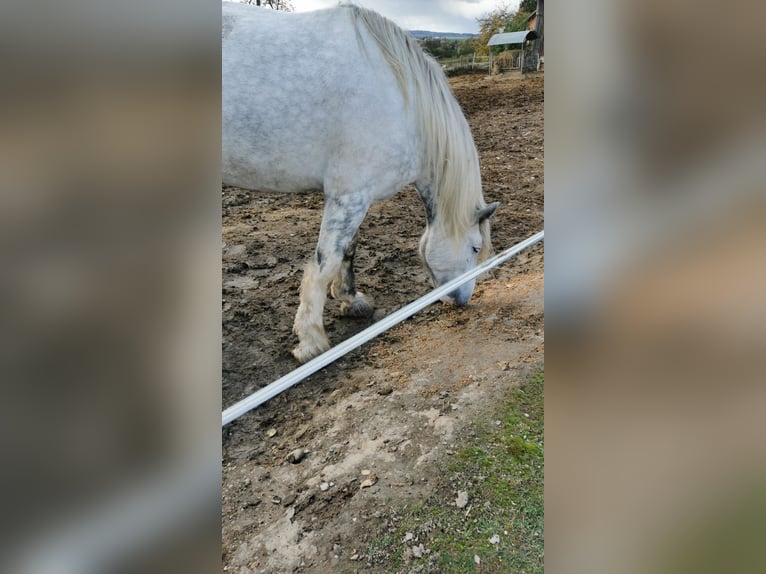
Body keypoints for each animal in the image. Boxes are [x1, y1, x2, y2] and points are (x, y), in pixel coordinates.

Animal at [222, 3, 499, 363]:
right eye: (476, 247)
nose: (463, 299)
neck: (402, 100)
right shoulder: (349, 197)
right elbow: (326, 261)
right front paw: (310, 340)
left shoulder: (354, 196)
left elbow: (348, 250)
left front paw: (350, 300)